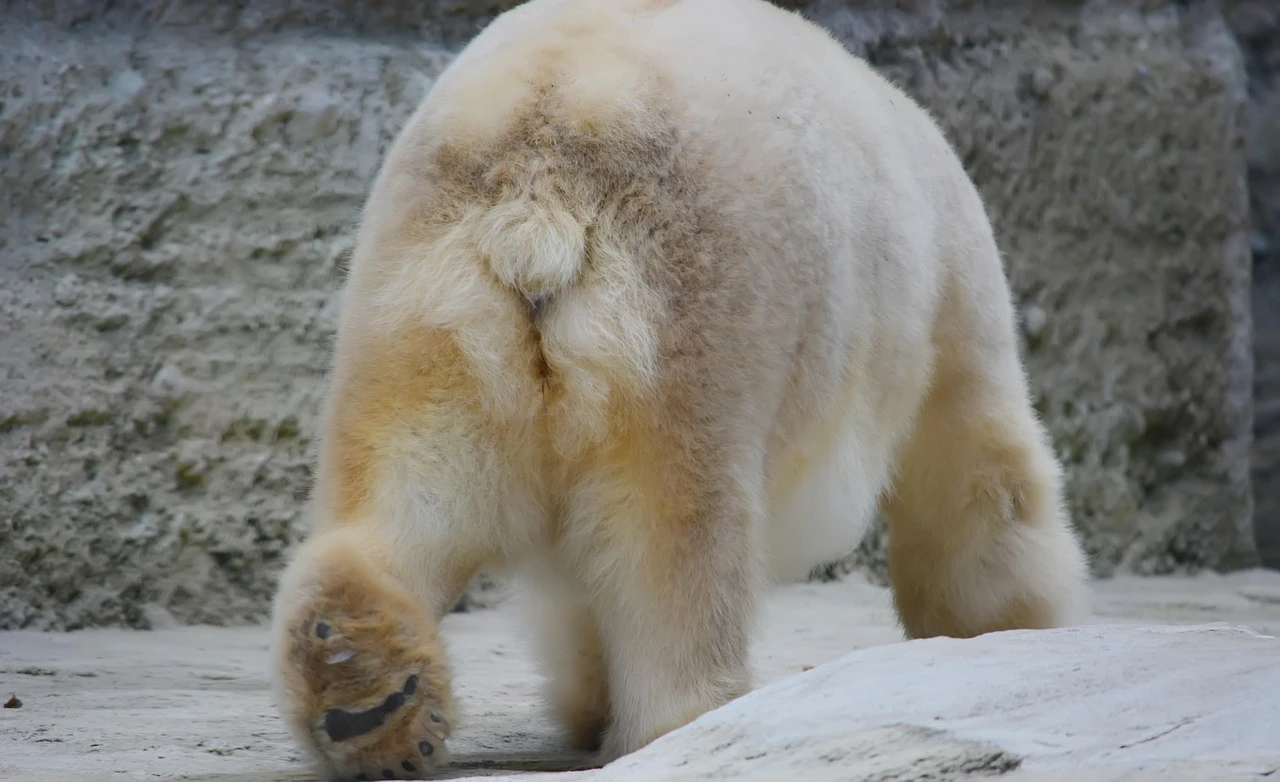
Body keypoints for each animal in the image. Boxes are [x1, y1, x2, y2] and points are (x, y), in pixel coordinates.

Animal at [267, 0, 1092, 778]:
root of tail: (537, 173)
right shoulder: (943, 287)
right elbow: (974, 474)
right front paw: (1004, 634)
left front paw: (586, 701)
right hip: (684, 311)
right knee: (674, 533)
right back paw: (690, 716)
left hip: (426, 308)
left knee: (407, 486)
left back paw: (363, 689)